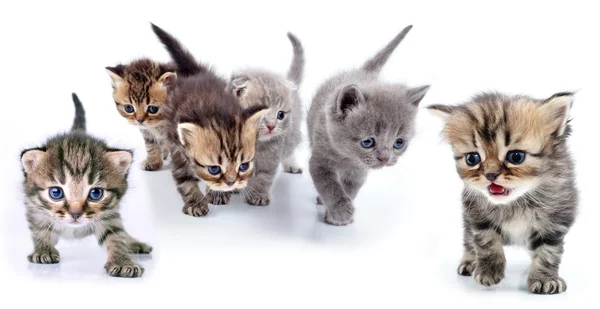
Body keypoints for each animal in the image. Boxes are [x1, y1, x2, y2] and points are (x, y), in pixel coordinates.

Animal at [20, 93, 152, 276]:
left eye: (96, 193)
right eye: (56, 192)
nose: (75, 214)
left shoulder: (110, 214)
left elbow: (116, 235)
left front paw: (122, 261)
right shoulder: (35, 210)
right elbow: (40, 230)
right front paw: (43, 250)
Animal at [151, 23, 268, 217]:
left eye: (243, 166)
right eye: (214, 169)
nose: (231, 182)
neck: (215, 109)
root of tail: (197, 73)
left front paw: (217, 193)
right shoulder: (177, 148)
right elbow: (185, 180)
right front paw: (195, 202)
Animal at [211, 32, 304, 206]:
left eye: (280, 114)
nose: (271, 126)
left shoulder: (271, 153)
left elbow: (264, 176)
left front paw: (258, 195)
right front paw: (218, 193)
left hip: (291, 134)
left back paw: (291, 164)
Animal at [308, 24, 428, 226]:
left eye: (399, 143)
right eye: (368, 142)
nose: (385, 158)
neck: (347, 158)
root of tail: (364, 72)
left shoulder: (359, 172)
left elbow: (350, 188)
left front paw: (339, 211)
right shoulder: (319, 160)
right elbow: (330, 186)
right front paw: (340, 211)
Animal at [428, 91, 580, 294]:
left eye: (516, 157)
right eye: (472, 158)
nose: (490, 175)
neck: (516, 203)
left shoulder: (556, 220)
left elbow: (548, 252)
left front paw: (545, 278)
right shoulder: (476, 216)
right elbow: (487, 242)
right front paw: (488, 271)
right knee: (468, 240)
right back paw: (469, 262)